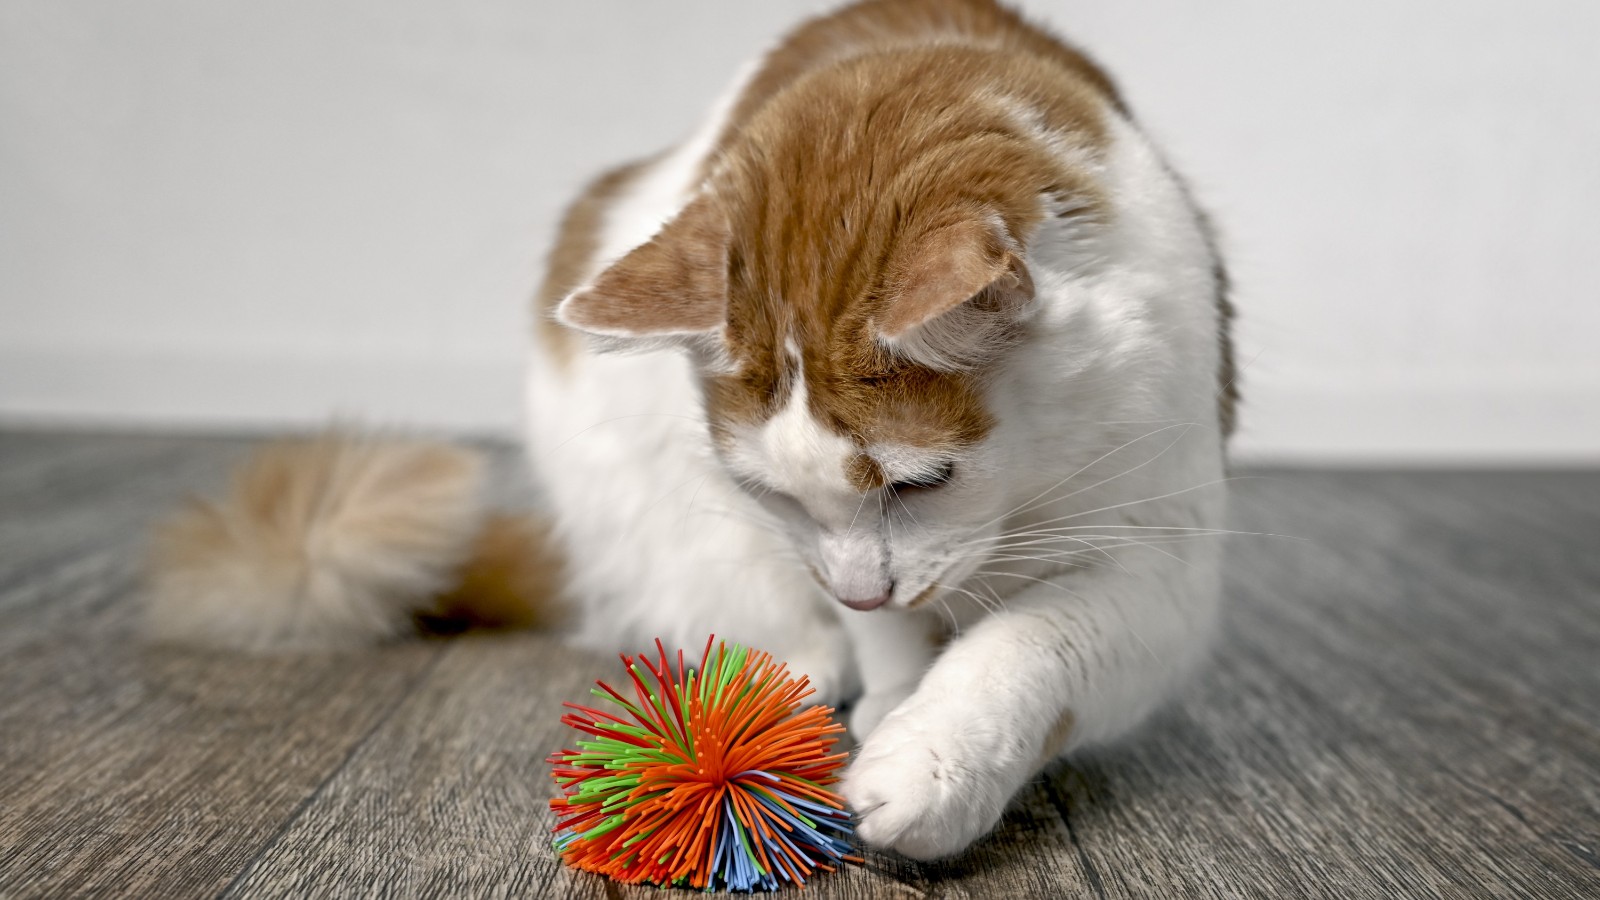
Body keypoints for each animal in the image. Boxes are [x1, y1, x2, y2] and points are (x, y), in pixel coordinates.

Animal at [144, 0, 1235, 851]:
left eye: (921, 483)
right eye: (773, 496)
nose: (860, 591)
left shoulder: (1161, 563)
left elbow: (1024, 649)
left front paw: (930, 753)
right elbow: (884, 634)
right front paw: (890, 693)